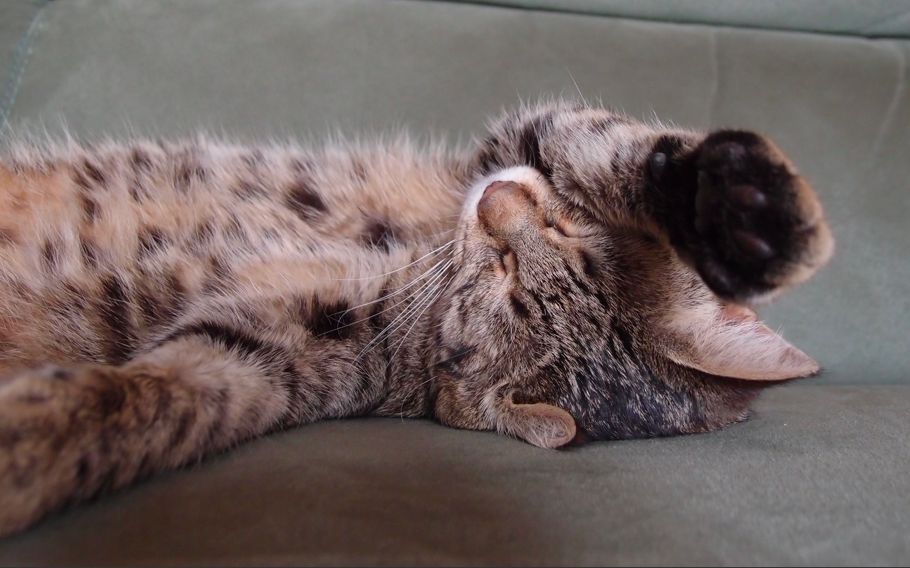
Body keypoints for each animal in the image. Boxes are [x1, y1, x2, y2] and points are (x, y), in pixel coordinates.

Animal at [0, 100, 832, 536]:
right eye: (572, 235)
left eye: (504, 285)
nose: (500, 201)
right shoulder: (508, 141)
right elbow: (602, 143)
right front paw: (736, 206)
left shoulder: (266, 355)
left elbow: (159, 399)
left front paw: (30, 440)